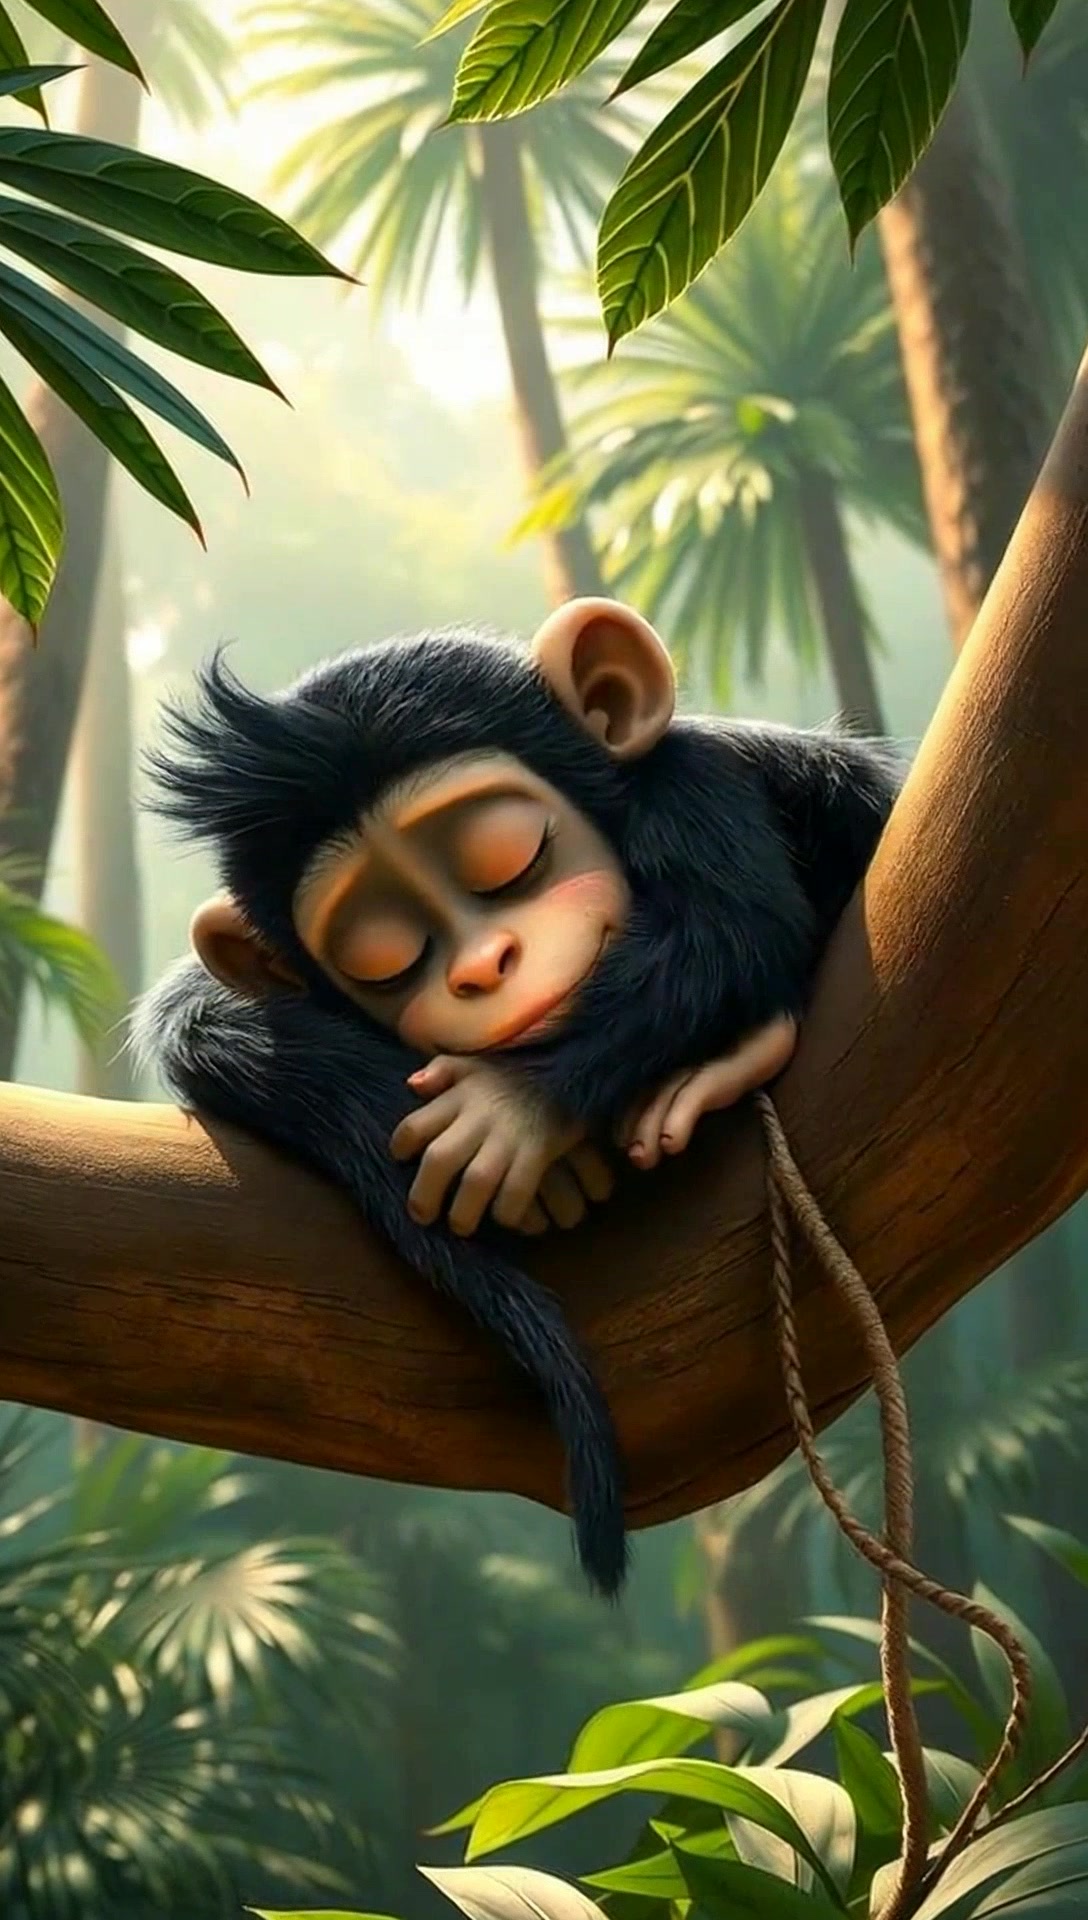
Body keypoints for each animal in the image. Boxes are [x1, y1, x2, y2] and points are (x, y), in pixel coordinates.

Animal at [134, 597, 903, 1601]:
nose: (484, 965)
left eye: (512, 858)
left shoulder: (694, 786)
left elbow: (734, 926)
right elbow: (203, 1021)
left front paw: (510, 1110)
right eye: (384, 955)